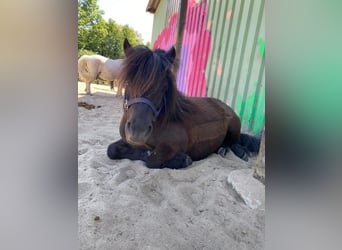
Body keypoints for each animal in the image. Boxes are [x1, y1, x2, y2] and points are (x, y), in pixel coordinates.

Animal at [107, 40, 260, 169]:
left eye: (163, 86)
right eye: (128, 82)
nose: (138, 132)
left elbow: (152, 159)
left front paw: (181, 159)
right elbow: (111, 150)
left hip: (234, 126)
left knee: (235, 142)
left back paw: (238, 151)